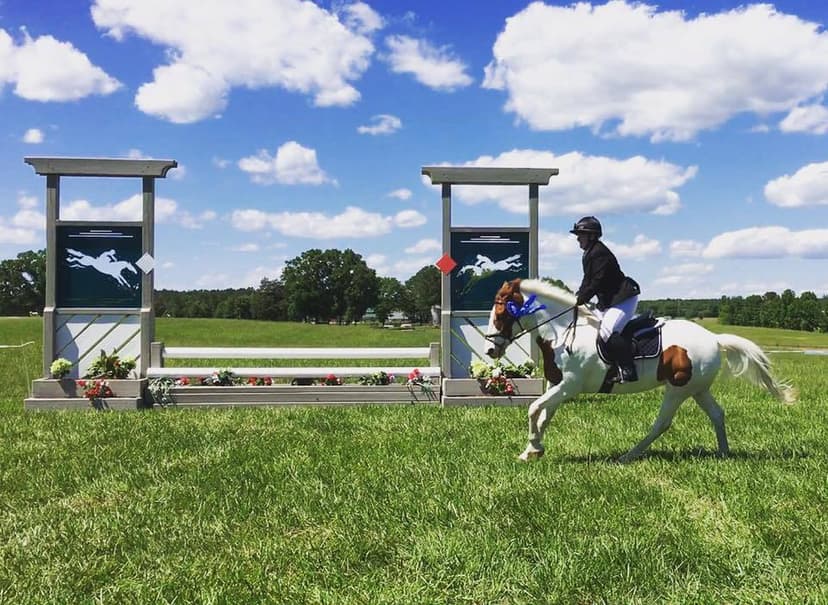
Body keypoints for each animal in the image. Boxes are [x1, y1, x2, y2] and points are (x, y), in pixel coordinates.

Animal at [485, 279, 796, 463]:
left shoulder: (569, 386)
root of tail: (714, 338)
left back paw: (629, 455)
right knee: (717, 414)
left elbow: (533, 410)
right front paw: (532, 450)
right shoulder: (556, 385)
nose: (489, 350)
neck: (562, 332)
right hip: (698, 389)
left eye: (500, 313)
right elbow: (544, 414)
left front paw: (533, 447)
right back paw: (723, 453)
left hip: (677, 390)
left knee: (662, 423)